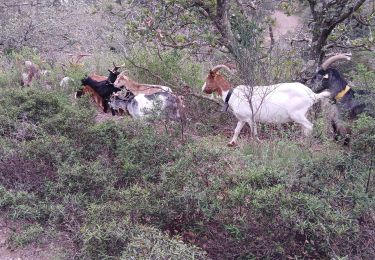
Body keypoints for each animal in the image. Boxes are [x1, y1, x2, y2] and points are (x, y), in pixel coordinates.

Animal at [203, 64, 332, 146]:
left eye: (209, 79)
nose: (203, 89)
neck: (233, 95)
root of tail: (312, 95)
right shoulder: (242, 119)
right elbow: (236, 130)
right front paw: (231, 143)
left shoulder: (250, 118)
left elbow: (254, 132)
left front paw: (258, 142)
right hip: (303, 114)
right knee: (305, 128)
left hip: (297, 114)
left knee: (309, 126)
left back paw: (305, 144)